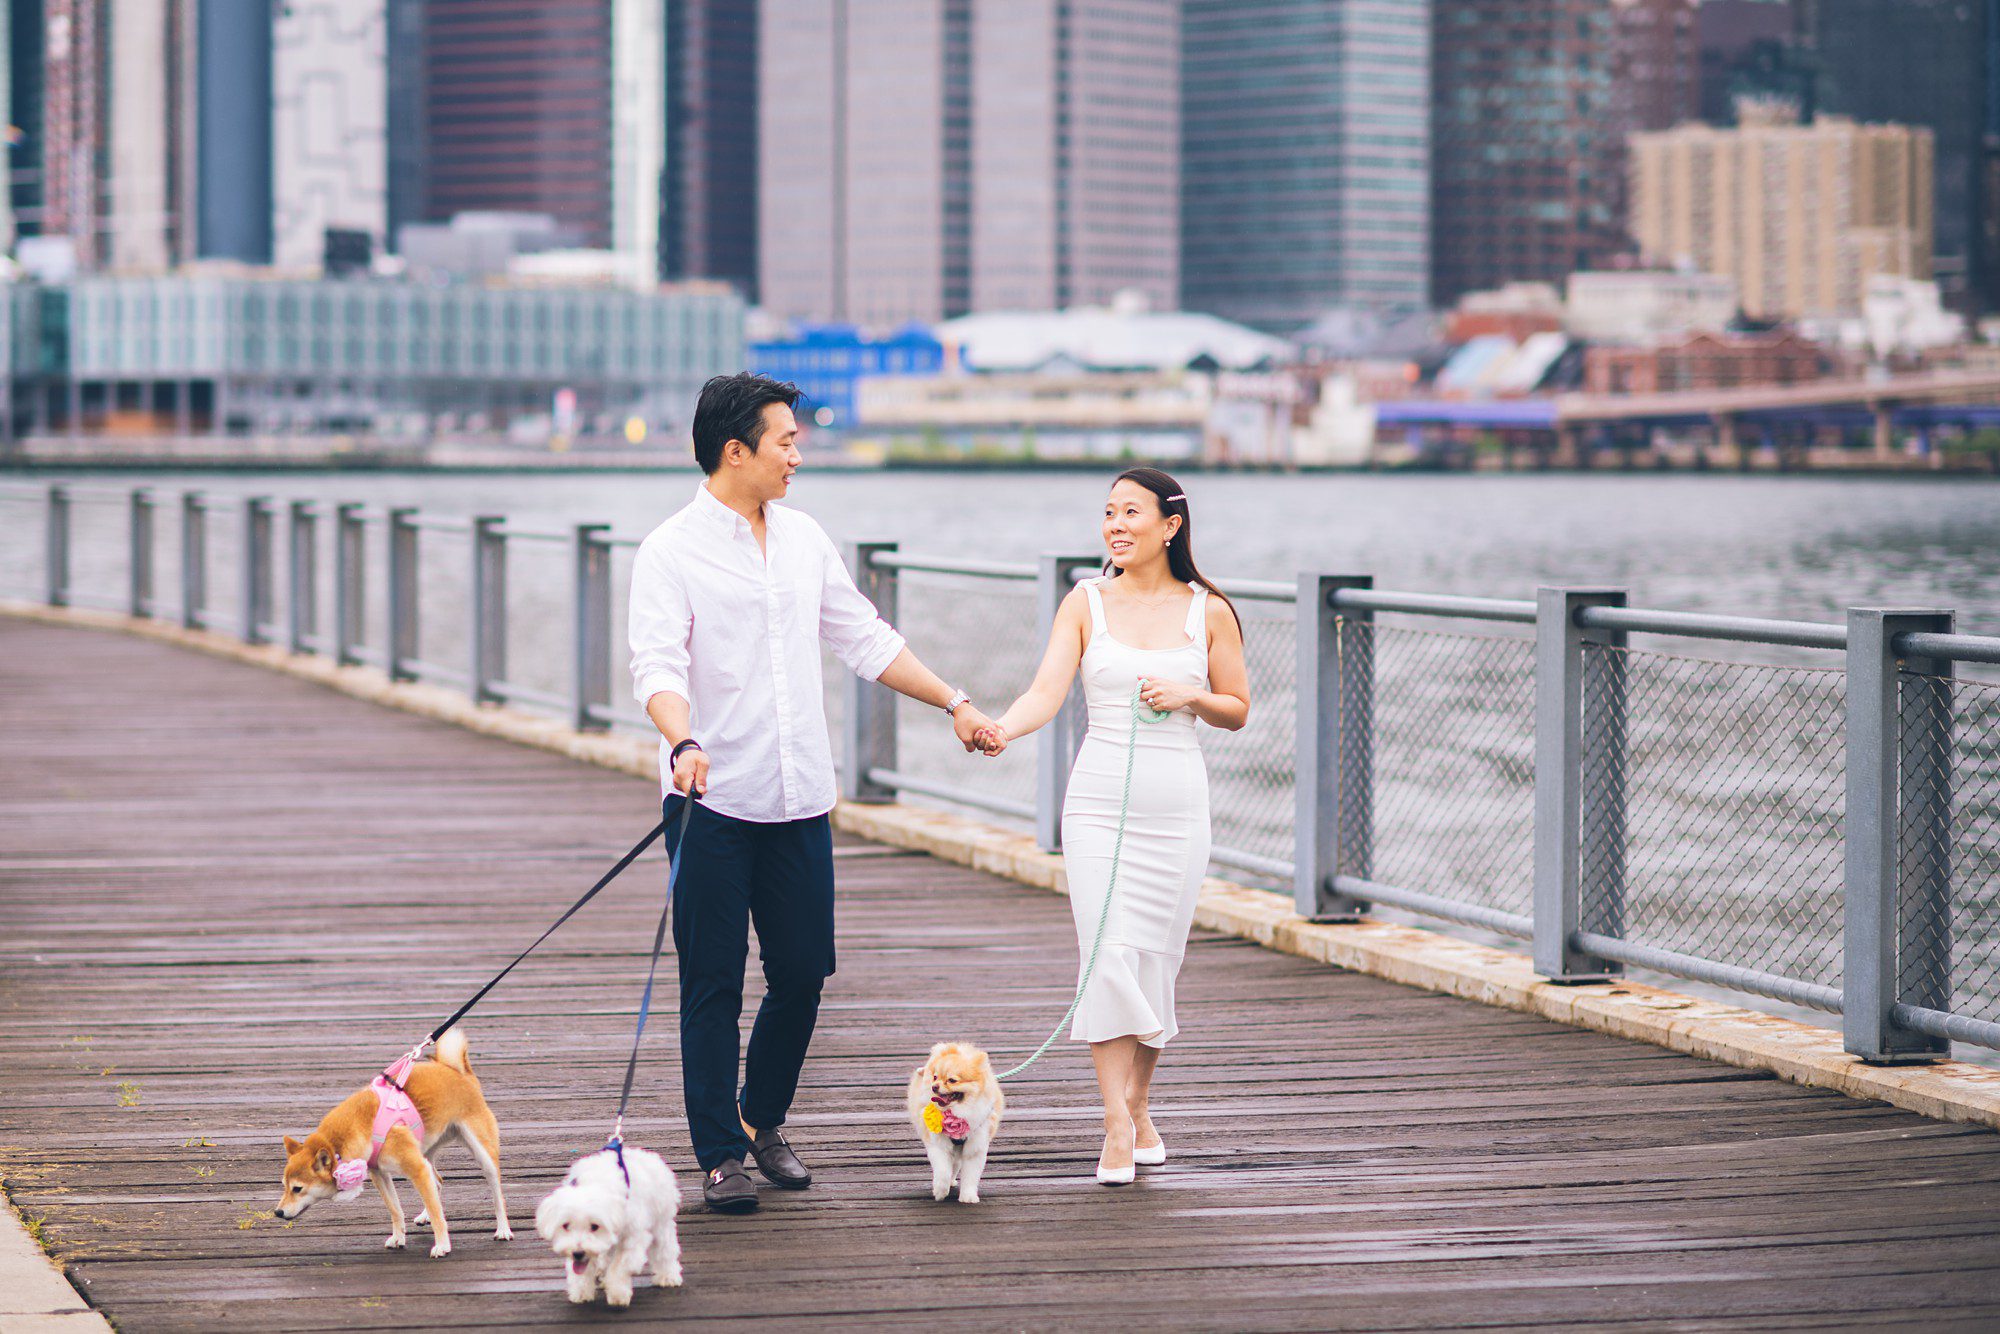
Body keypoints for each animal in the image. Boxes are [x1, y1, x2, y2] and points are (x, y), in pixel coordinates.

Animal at [272, 1032, 508, 1256]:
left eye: (297, 1189)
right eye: (284, 1186)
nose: (278, 1212)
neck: (361, 1127)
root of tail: (457, 1070)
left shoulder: (415, 1168)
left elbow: (437, 1214)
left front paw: (442, 1245)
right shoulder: (379, 1173)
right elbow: (396, 1210)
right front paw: (398, 1237)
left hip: (480, 1152)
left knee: (496, 1194)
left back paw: (503, 1229)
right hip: (425, 1152)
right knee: (437, 1182)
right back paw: (425, 1214)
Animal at [536, 1144, 684, 1312]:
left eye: (595, 1226)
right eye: (565, 1225)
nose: (578, 1253)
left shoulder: (633, 1236)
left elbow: (619, 1266)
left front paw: (618, 1294)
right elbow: (581, 1270)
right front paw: (581, 1292)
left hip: (661, 1219)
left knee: (664, 1250)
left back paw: (668, 1276)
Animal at [904, 1048, 1000, 1208]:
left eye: (952, 1080)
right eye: (935, 1077)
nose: (934, 1086)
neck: (957, 1112)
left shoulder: (975, 1146)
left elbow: (970, 1176)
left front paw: (968, 1196)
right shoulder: (939, 1145)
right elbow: (943, 1171)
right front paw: (940, 1191)